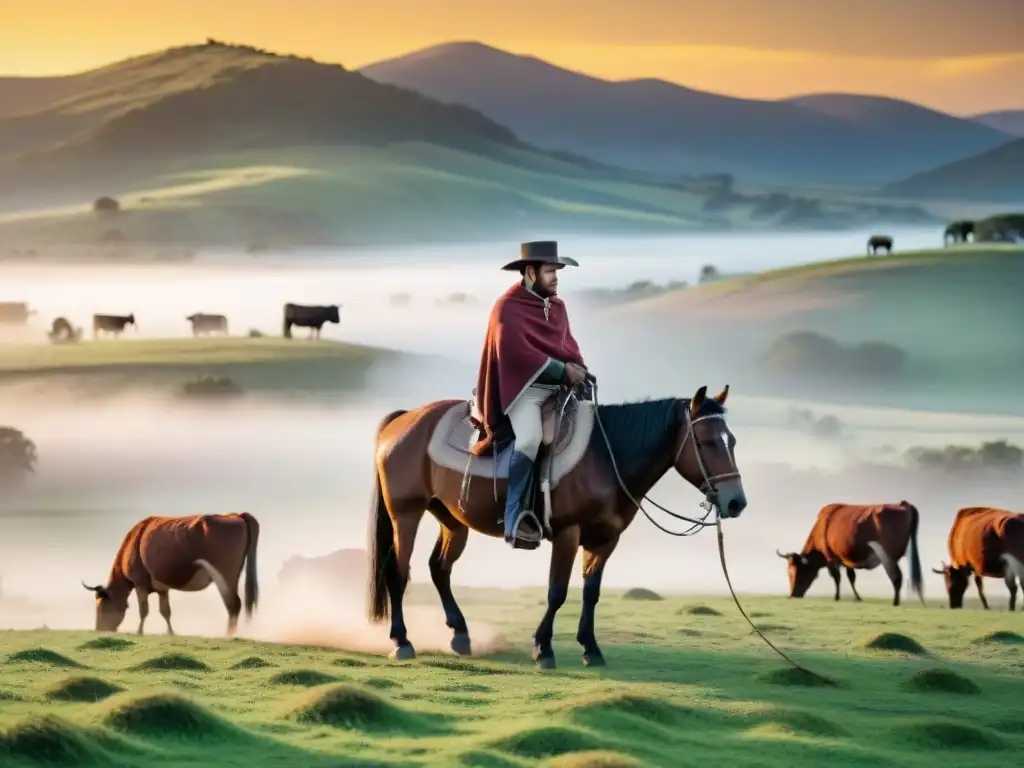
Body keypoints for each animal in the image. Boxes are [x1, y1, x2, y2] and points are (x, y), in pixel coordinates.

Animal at [83, 514, 260, 634]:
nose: (99, 630)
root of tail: (236, 514)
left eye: (102, 606)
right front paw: (171, 633)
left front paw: (139, 632)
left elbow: (143, 610)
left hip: (225, 574)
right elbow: (165, 611)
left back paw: (229, 636)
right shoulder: (162, 588)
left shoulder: (140, 584)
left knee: (233, 604)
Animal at [366, 382, 745, 667]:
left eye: (732, 440)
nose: (736, 502)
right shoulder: (567, 534)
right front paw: (543, 648)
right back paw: (402, 641)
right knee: (398, 571)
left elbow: (591, 592)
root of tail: (404, 420)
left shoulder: (606, 540)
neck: (606, 458)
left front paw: (591, 648)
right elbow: (557, 591)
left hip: (452, 520)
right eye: (707, 441)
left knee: (439, 568)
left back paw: (460, 635)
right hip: (406, 514)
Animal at [774, 501, 929, 610]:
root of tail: (903, 503)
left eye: (800, 572)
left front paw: (836, 597)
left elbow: (837, 577)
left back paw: (895, 602)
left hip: (888, 555)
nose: (792, 595)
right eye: (789, 572)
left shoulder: (831, 558)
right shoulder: (846, 559)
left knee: (896, 577)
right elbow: (851, 577)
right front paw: (858, 598)